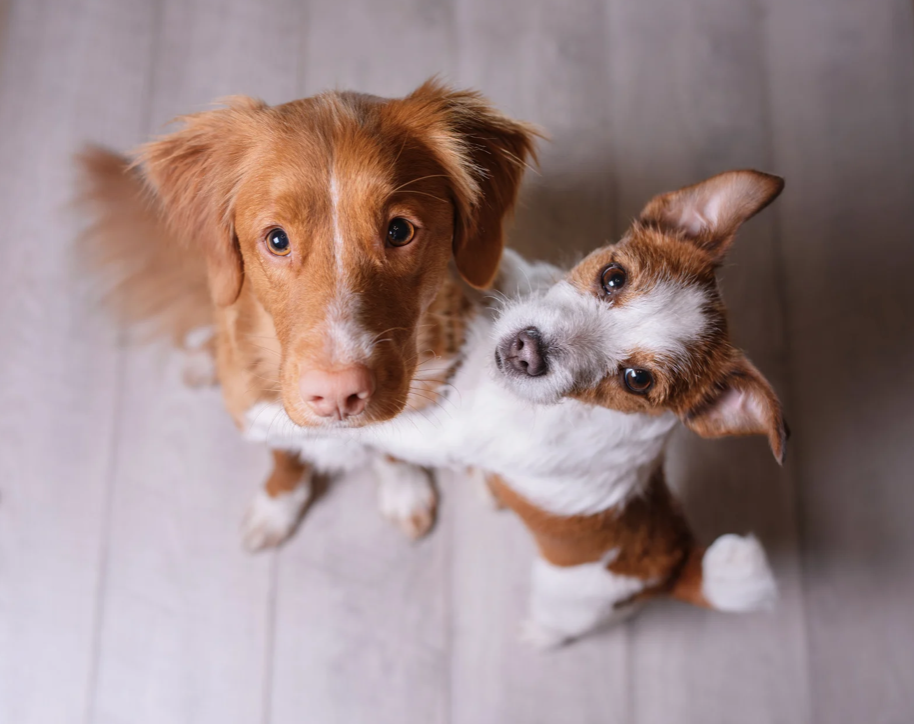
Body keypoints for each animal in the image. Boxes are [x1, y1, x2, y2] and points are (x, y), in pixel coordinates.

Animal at [249, 171, 784, 652]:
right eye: (613, 277)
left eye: (638, 380)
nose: (528, 350)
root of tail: (676, 563)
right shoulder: (527, 278)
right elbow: (506, 266)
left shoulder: (445, 433)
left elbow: (379, 428)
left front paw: (281, 418)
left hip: (569, 601)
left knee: (561, 629)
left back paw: (535, 635)